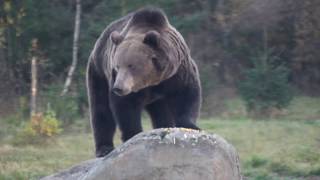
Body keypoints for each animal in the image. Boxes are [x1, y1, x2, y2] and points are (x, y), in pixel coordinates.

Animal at [86, 7, 201, 157]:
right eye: (117, 66)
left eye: (131, 65)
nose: (118, 88)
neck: (153, 80)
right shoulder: (127, 86)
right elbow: (125, 108)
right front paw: (132, 134)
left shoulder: (178, 73)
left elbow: (186, 94)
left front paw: (191, 126)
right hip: (98, 73)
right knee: (100, 108)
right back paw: (104, 148)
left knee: (162, 112)